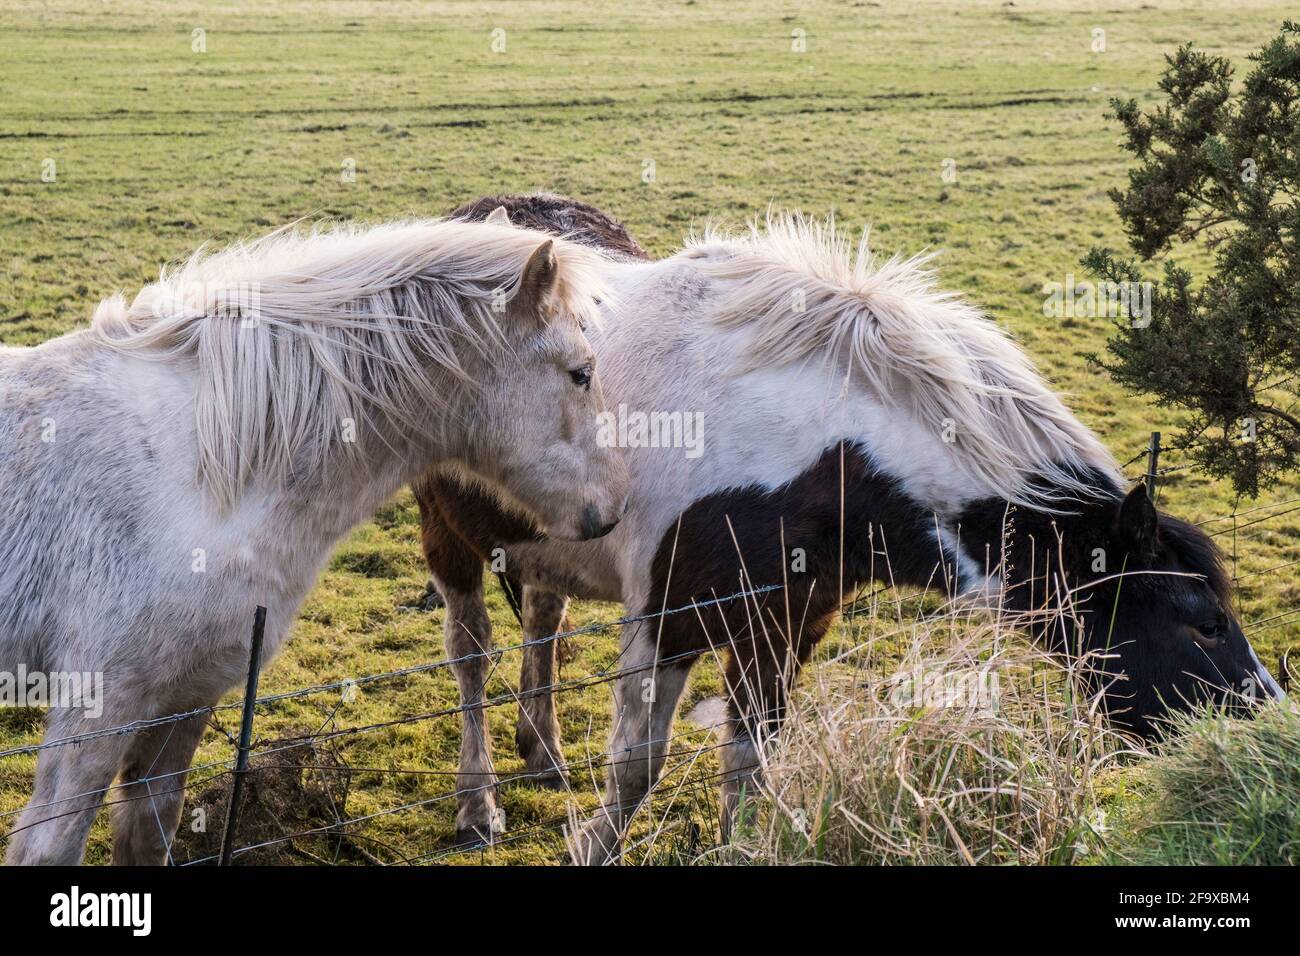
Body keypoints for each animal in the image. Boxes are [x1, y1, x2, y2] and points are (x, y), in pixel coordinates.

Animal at [0, 217, 629, 868]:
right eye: (581, 372)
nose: (612, 508)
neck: (203, 472)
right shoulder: (99, 705)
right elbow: (47, 848)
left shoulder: (185, 697)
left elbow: (149, 834)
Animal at [418, 195, 1289, 858]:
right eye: (1204, 623)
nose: (1266, 728)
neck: (815, 455)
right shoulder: (671, 616)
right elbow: (639, 765)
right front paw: (593, 847)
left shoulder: (789, 619)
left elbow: (751, 761)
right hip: (447, 536)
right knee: (471, 655)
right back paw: (478, 803)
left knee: (542, 617)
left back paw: (543, 751)